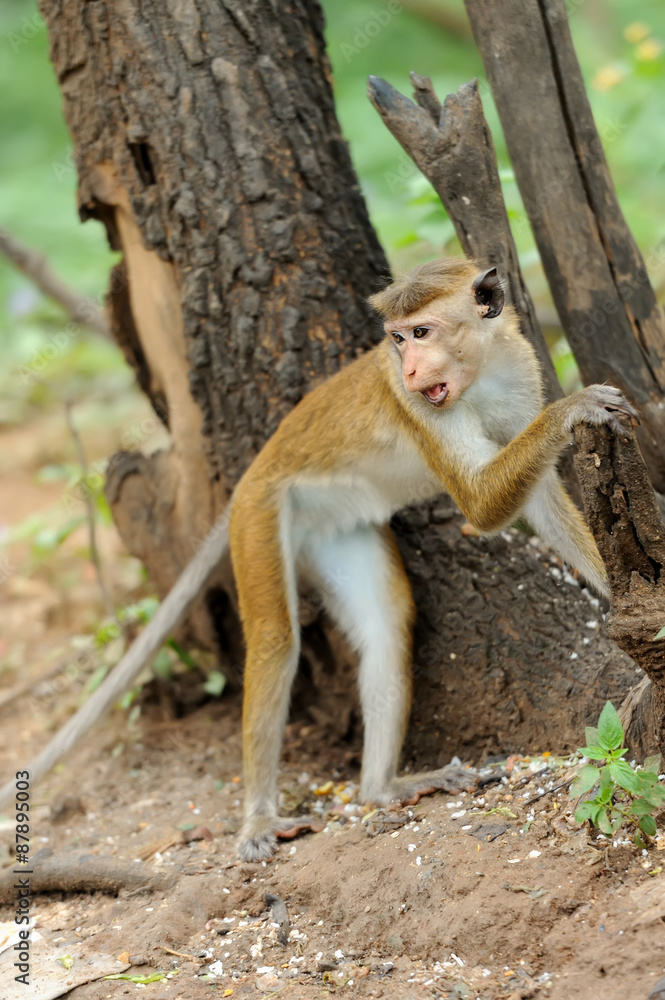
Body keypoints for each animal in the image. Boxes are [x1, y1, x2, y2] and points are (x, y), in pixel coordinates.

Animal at [1, 256, 640, 852]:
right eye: (397, 339)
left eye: (422, 332)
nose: (410, 368)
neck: (480, 373)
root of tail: (253, 471)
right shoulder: (415, 406)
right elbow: (483, 507)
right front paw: (576, 409)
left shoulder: (521, 369)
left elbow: (542, 500)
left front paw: (620, 595)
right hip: (260, 515)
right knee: (275, 641)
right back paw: (261, 817)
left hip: (332, 530)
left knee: (386, 626)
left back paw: (381, 788)